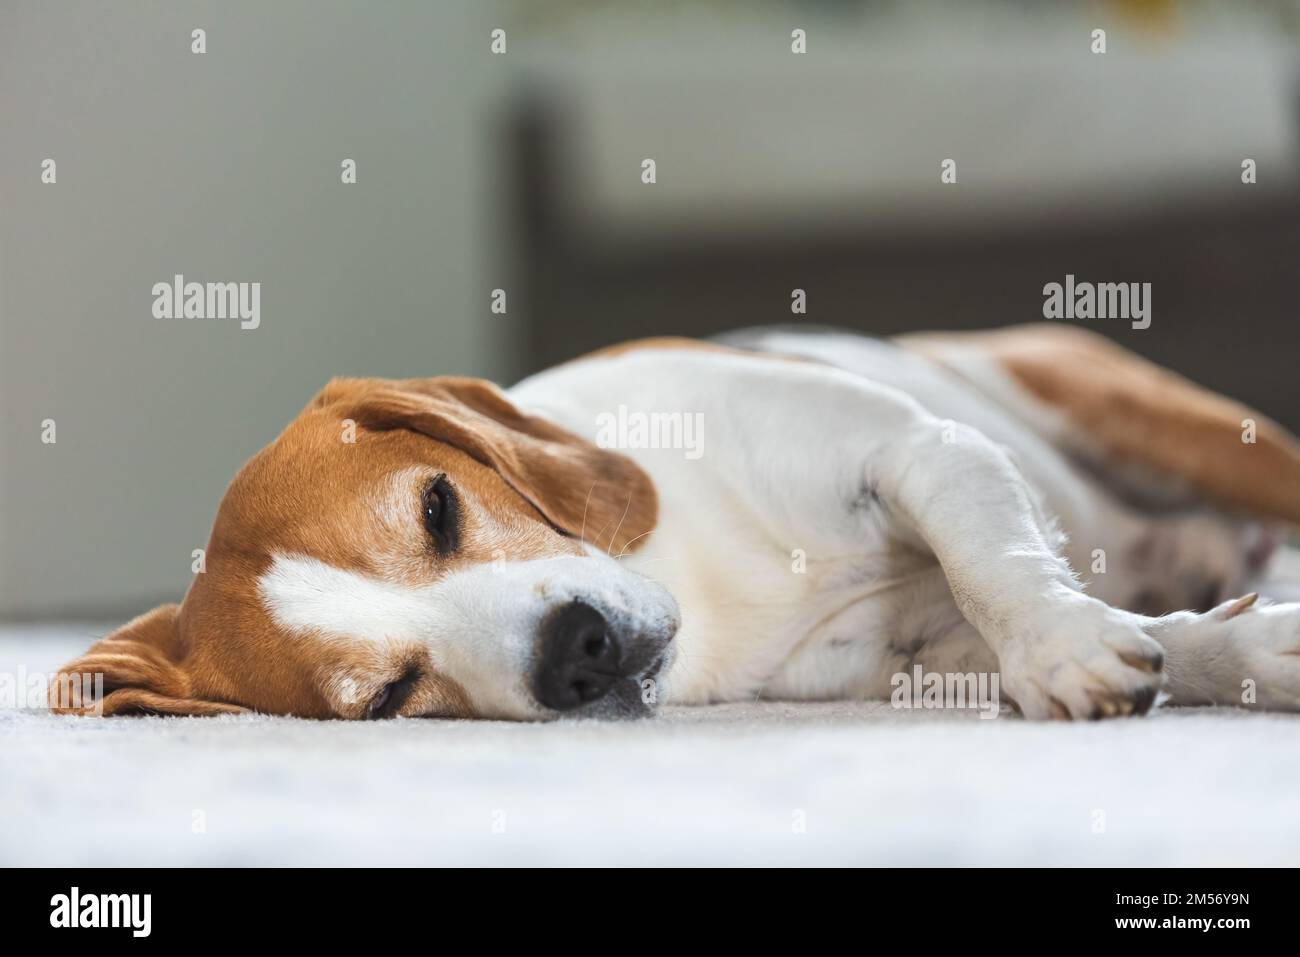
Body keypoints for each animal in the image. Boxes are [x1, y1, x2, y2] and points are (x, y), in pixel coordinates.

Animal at [55, 325, 1300, 722]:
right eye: (390, 697)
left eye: (438, 507)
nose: (577, 653)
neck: (700, 584)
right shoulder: (916, 659)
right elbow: (1162, 638)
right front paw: (1239, 652)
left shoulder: (922, 453)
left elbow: (999, 568)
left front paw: (1064, 644)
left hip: (1161, 423)